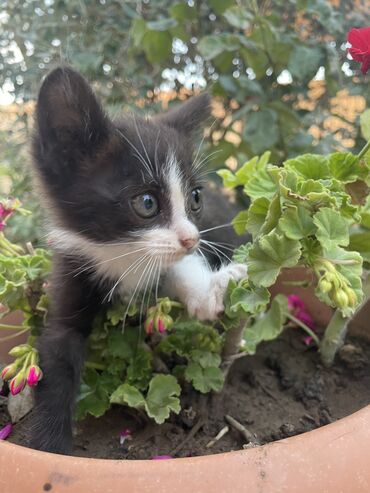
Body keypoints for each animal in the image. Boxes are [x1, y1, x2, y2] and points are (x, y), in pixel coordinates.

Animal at [29, 66, 246, 454]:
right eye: (146, 203)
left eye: (195, 198)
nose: (191, 238)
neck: (121, 253)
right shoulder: (72, 267)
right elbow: (58, 352)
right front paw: (49, 445)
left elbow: (180, 265)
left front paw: (208, 293)